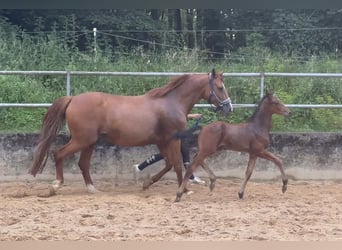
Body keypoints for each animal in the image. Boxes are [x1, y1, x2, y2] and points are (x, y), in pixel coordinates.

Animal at [29, 69, 234, 193]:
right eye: (220, 87)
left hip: (89, 142)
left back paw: (92, 188)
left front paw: (146, 182)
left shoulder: (162, 141)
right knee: (58, 154)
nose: (229, 108)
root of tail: (72, 99)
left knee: (83, 164)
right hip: (82, 140)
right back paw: (56, 184)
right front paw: (184, 189)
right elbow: (176, 164)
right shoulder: (172, 139)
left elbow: (168, 163)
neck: (171, 102)